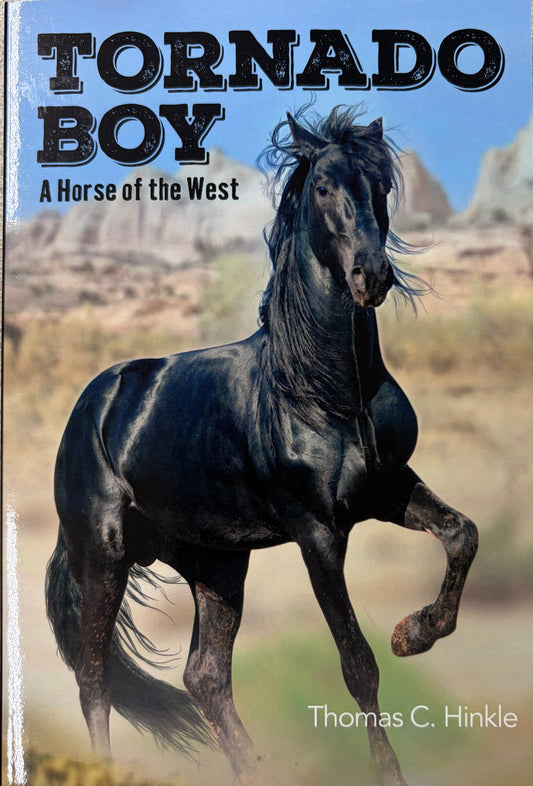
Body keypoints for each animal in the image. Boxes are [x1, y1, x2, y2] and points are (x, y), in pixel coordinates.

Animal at [46, 106, 478, 786]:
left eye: (380, 186)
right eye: (323, 187)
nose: (372, 275)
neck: (327, 389)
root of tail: (93, 405)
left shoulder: (389, 489)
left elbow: (462, 533)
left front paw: (415, 632)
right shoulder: (318, 532)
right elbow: (358, 664)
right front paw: (389, 767)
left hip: (216, 564)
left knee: (205, 677)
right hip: (103, 556)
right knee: (95, 681)